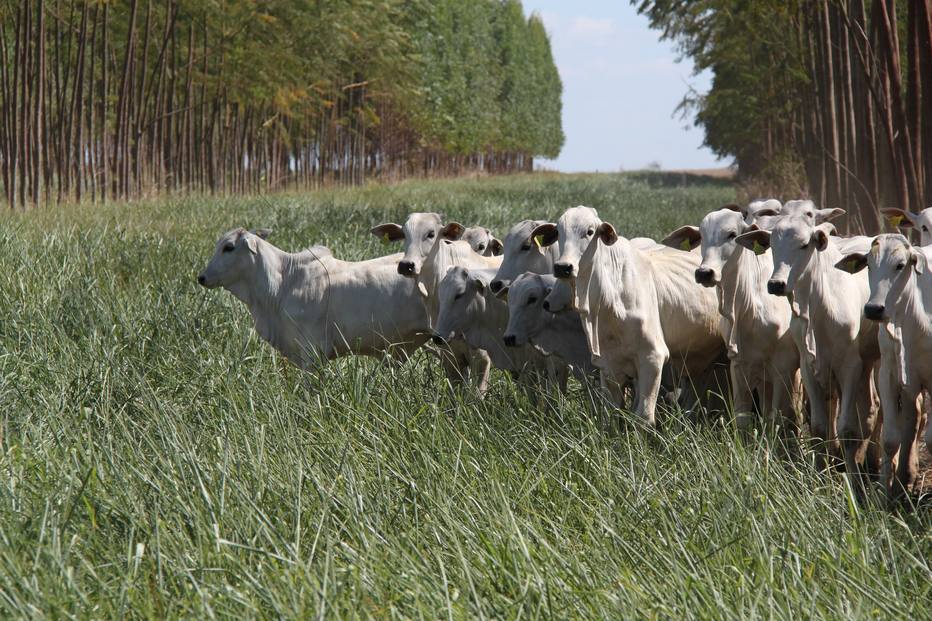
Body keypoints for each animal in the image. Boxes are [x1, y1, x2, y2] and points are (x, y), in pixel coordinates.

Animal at [532, 206, 720, 424]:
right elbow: (613, 415)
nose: (563, 267)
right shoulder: (608, 365)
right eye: (558, 232)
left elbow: (643, 416)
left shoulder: (652, 359)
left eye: (589, 232)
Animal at [664, 206, 800, 434]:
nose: (704, 273)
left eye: (731, 234)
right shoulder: (739, 367)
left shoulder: (784, 367)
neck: (745, 309)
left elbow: (781, 419)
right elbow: (743, 420)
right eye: (702, 236)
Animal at [736, 217, 880, 484]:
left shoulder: (850, 367)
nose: (776, 284)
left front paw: (852, 482)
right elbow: (820, 427)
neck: (818, 307)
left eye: (804, 245)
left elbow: (846, 428)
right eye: (772, 245)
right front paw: (822, 474)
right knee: (867, 408)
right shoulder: (808, 367)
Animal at [836, 235, 932, 502]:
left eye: (900, 265)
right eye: (868, 264)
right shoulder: (889, 374)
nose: (873, 309)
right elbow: (890, 439)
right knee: (912, 419)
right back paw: (903, 480)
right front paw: (884, 496)